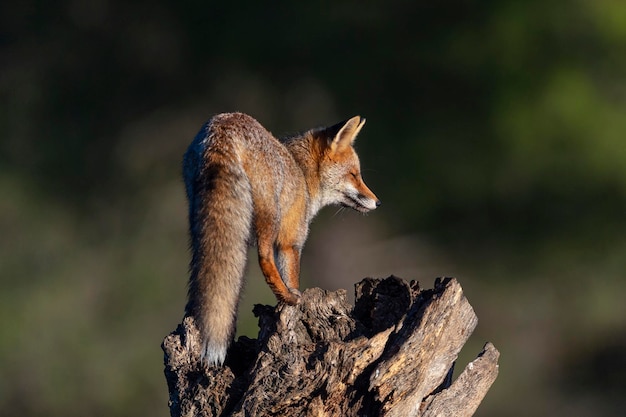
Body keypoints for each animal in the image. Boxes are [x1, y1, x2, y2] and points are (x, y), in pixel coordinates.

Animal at [183, 113, 378, 364]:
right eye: (354, 175)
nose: (378, 202)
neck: (303, 175)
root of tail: (221, 127)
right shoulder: (290, 241)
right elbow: (292, 276)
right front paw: (293, 301)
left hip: (201, 219)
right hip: (270, 216)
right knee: (264, 258)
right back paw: (288, 297)